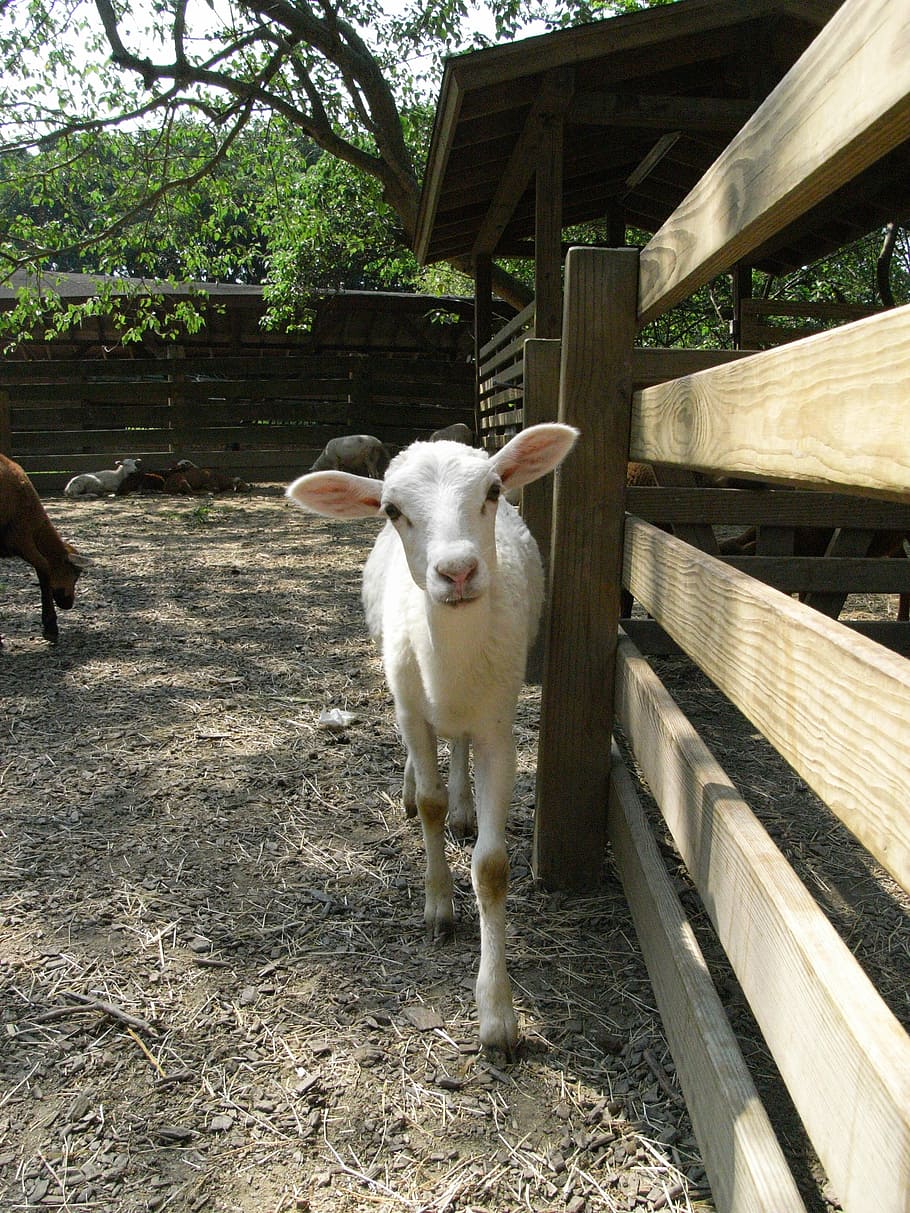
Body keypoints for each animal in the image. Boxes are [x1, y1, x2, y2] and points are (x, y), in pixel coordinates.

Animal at [287, 423, 579, 1054]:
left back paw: (465, 808)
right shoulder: (410, 710)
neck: (450, 666)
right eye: (393, 510)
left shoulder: (498, 727)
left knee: (459, 751)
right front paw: (439, 907)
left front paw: (497, 1015)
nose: (458, 571)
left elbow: (491, 867)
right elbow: (428, 804)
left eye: (493, 491)